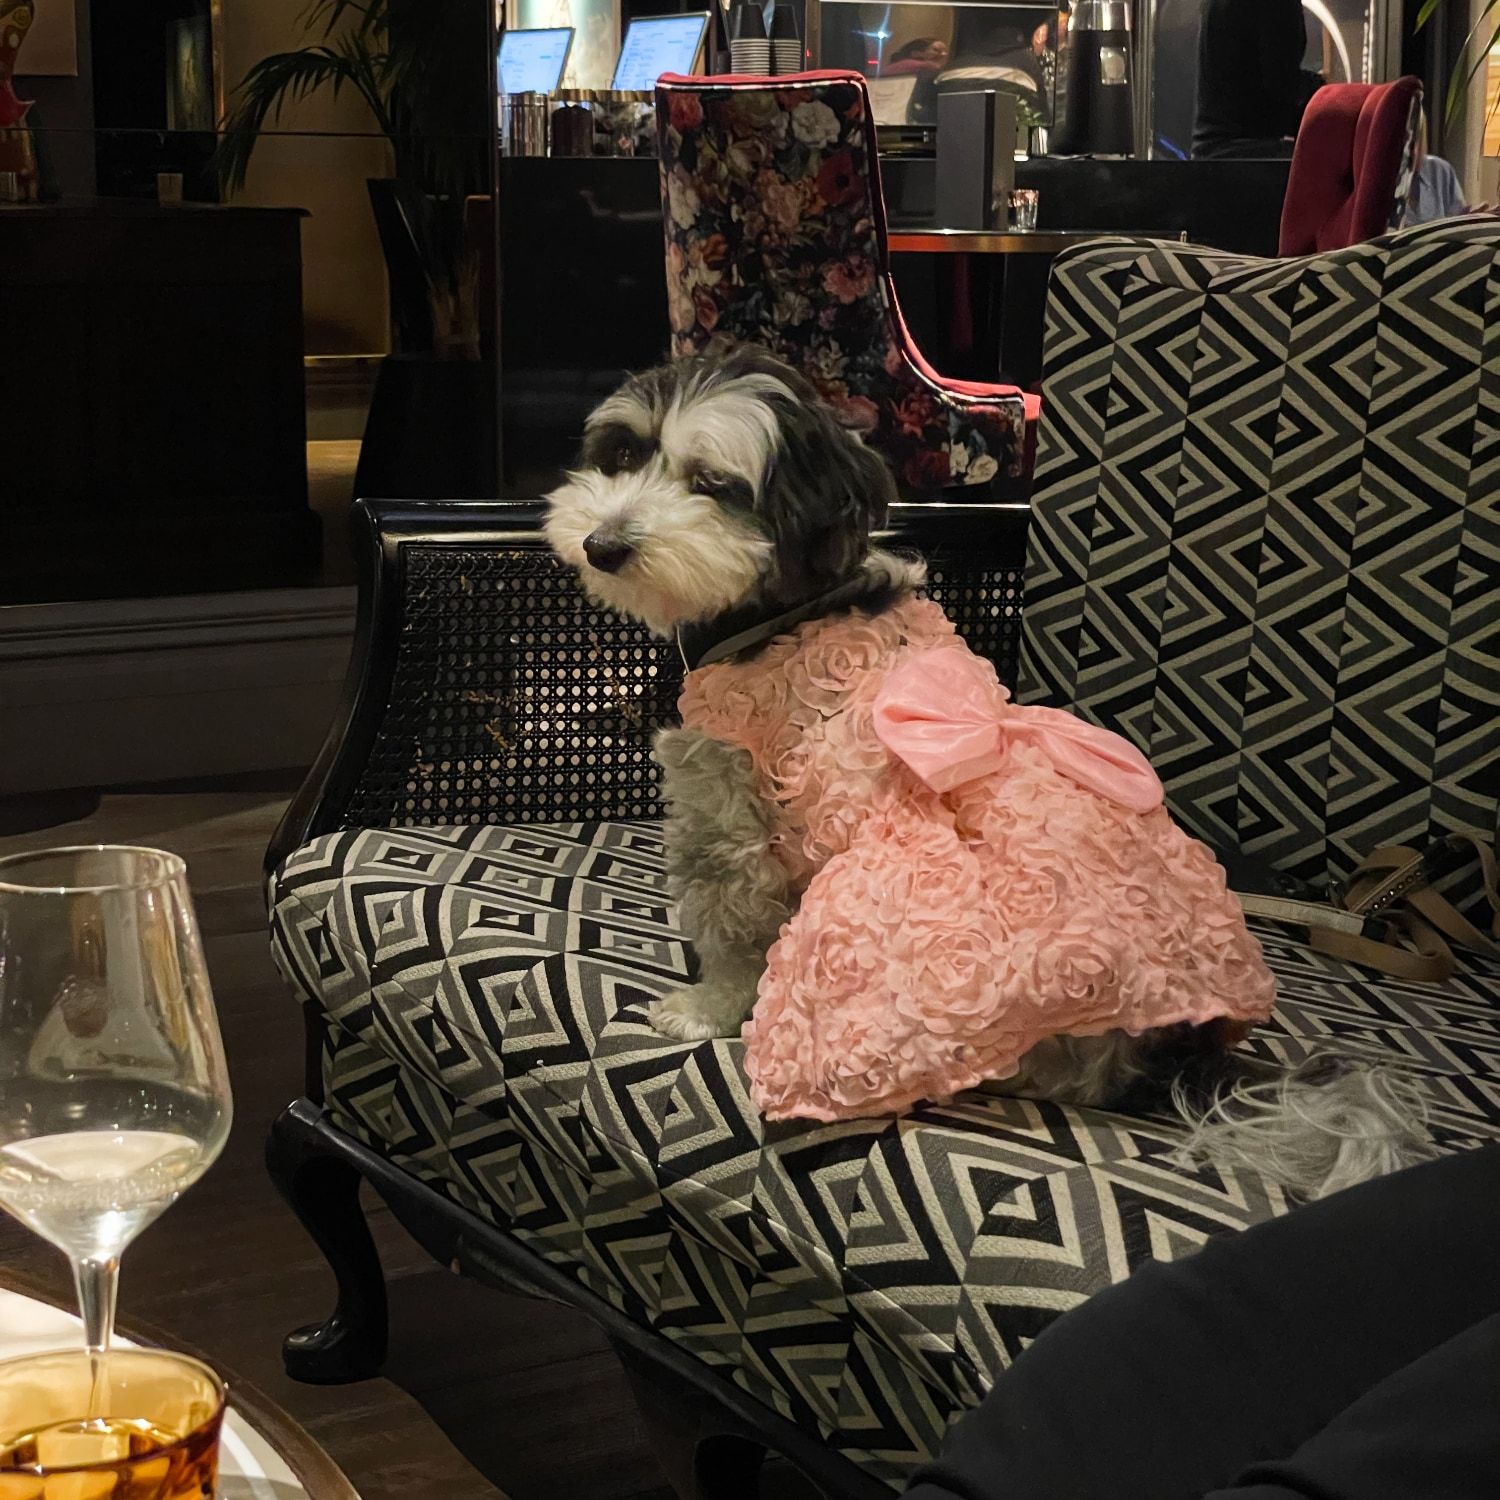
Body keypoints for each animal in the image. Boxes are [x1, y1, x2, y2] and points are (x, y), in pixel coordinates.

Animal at [546, 342, 1433, 1200]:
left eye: (713, 484)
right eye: (623, 454)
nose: (603, 545)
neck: (785, 609)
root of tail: (1185, 1052)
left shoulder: (726, 805)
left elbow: (732, 926)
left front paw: (705, 1008)